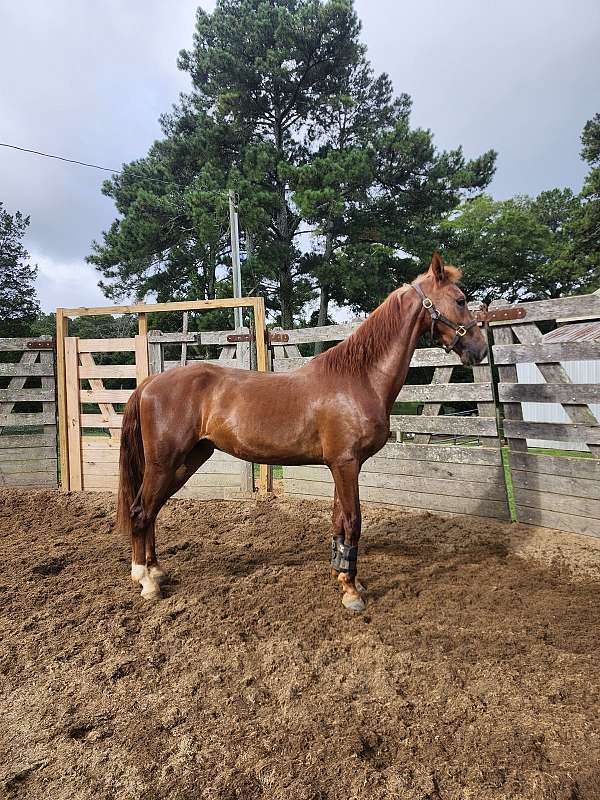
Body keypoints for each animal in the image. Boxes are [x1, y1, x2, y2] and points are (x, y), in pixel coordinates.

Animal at [118, 252, 488, 612]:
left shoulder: (342, 465)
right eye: (460, 299)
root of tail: (150, 383)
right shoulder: (345, 463)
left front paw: (344, 576)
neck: (358, 378)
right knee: (141, 511)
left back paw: (156, 571)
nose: (480, 350)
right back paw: (146, 581)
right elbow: (353, 522)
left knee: (152, 510)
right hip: (165, 463)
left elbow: (339, 522)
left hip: (187, 460)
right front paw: (351, 593)